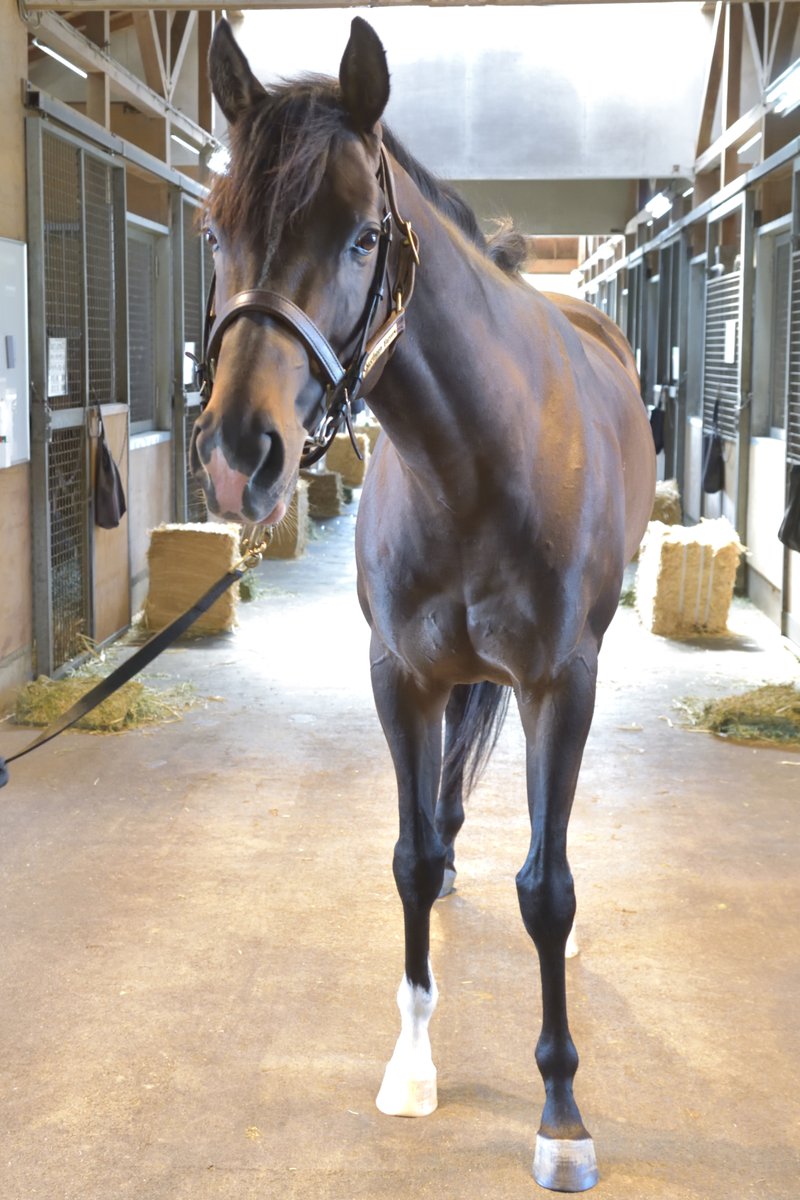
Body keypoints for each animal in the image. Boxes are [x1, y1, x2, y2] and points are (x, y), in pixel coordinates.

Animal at [192, 17, 655, 1192]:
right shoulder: (400, 677)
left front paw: (561, 1113)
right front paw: (409, 1067)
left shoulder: (557, 686)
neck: (475, 464)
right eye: (214, 231)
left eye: (364, 236)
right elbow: (406, 858)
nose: (238, 455)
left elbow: (546, 887)